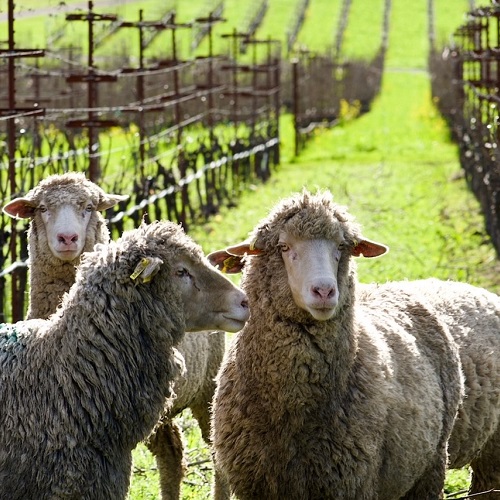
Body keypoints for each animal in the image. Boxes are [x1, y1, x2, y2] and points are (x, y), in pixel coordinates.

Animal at [1, 173, 229, 500]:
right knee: (171, 451)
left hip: (206, 389)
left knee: (215, 451)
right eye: (41, 208)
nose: (67, 239)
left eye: (89, 206)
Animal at [207, 188, 464, 500]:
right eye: (283, 246)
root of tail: (393, 286)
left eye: (342, 246)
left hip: (433, 463)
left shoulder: (350, 482)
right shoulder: (256, 485)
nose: (325, 290)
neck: (293, 410)